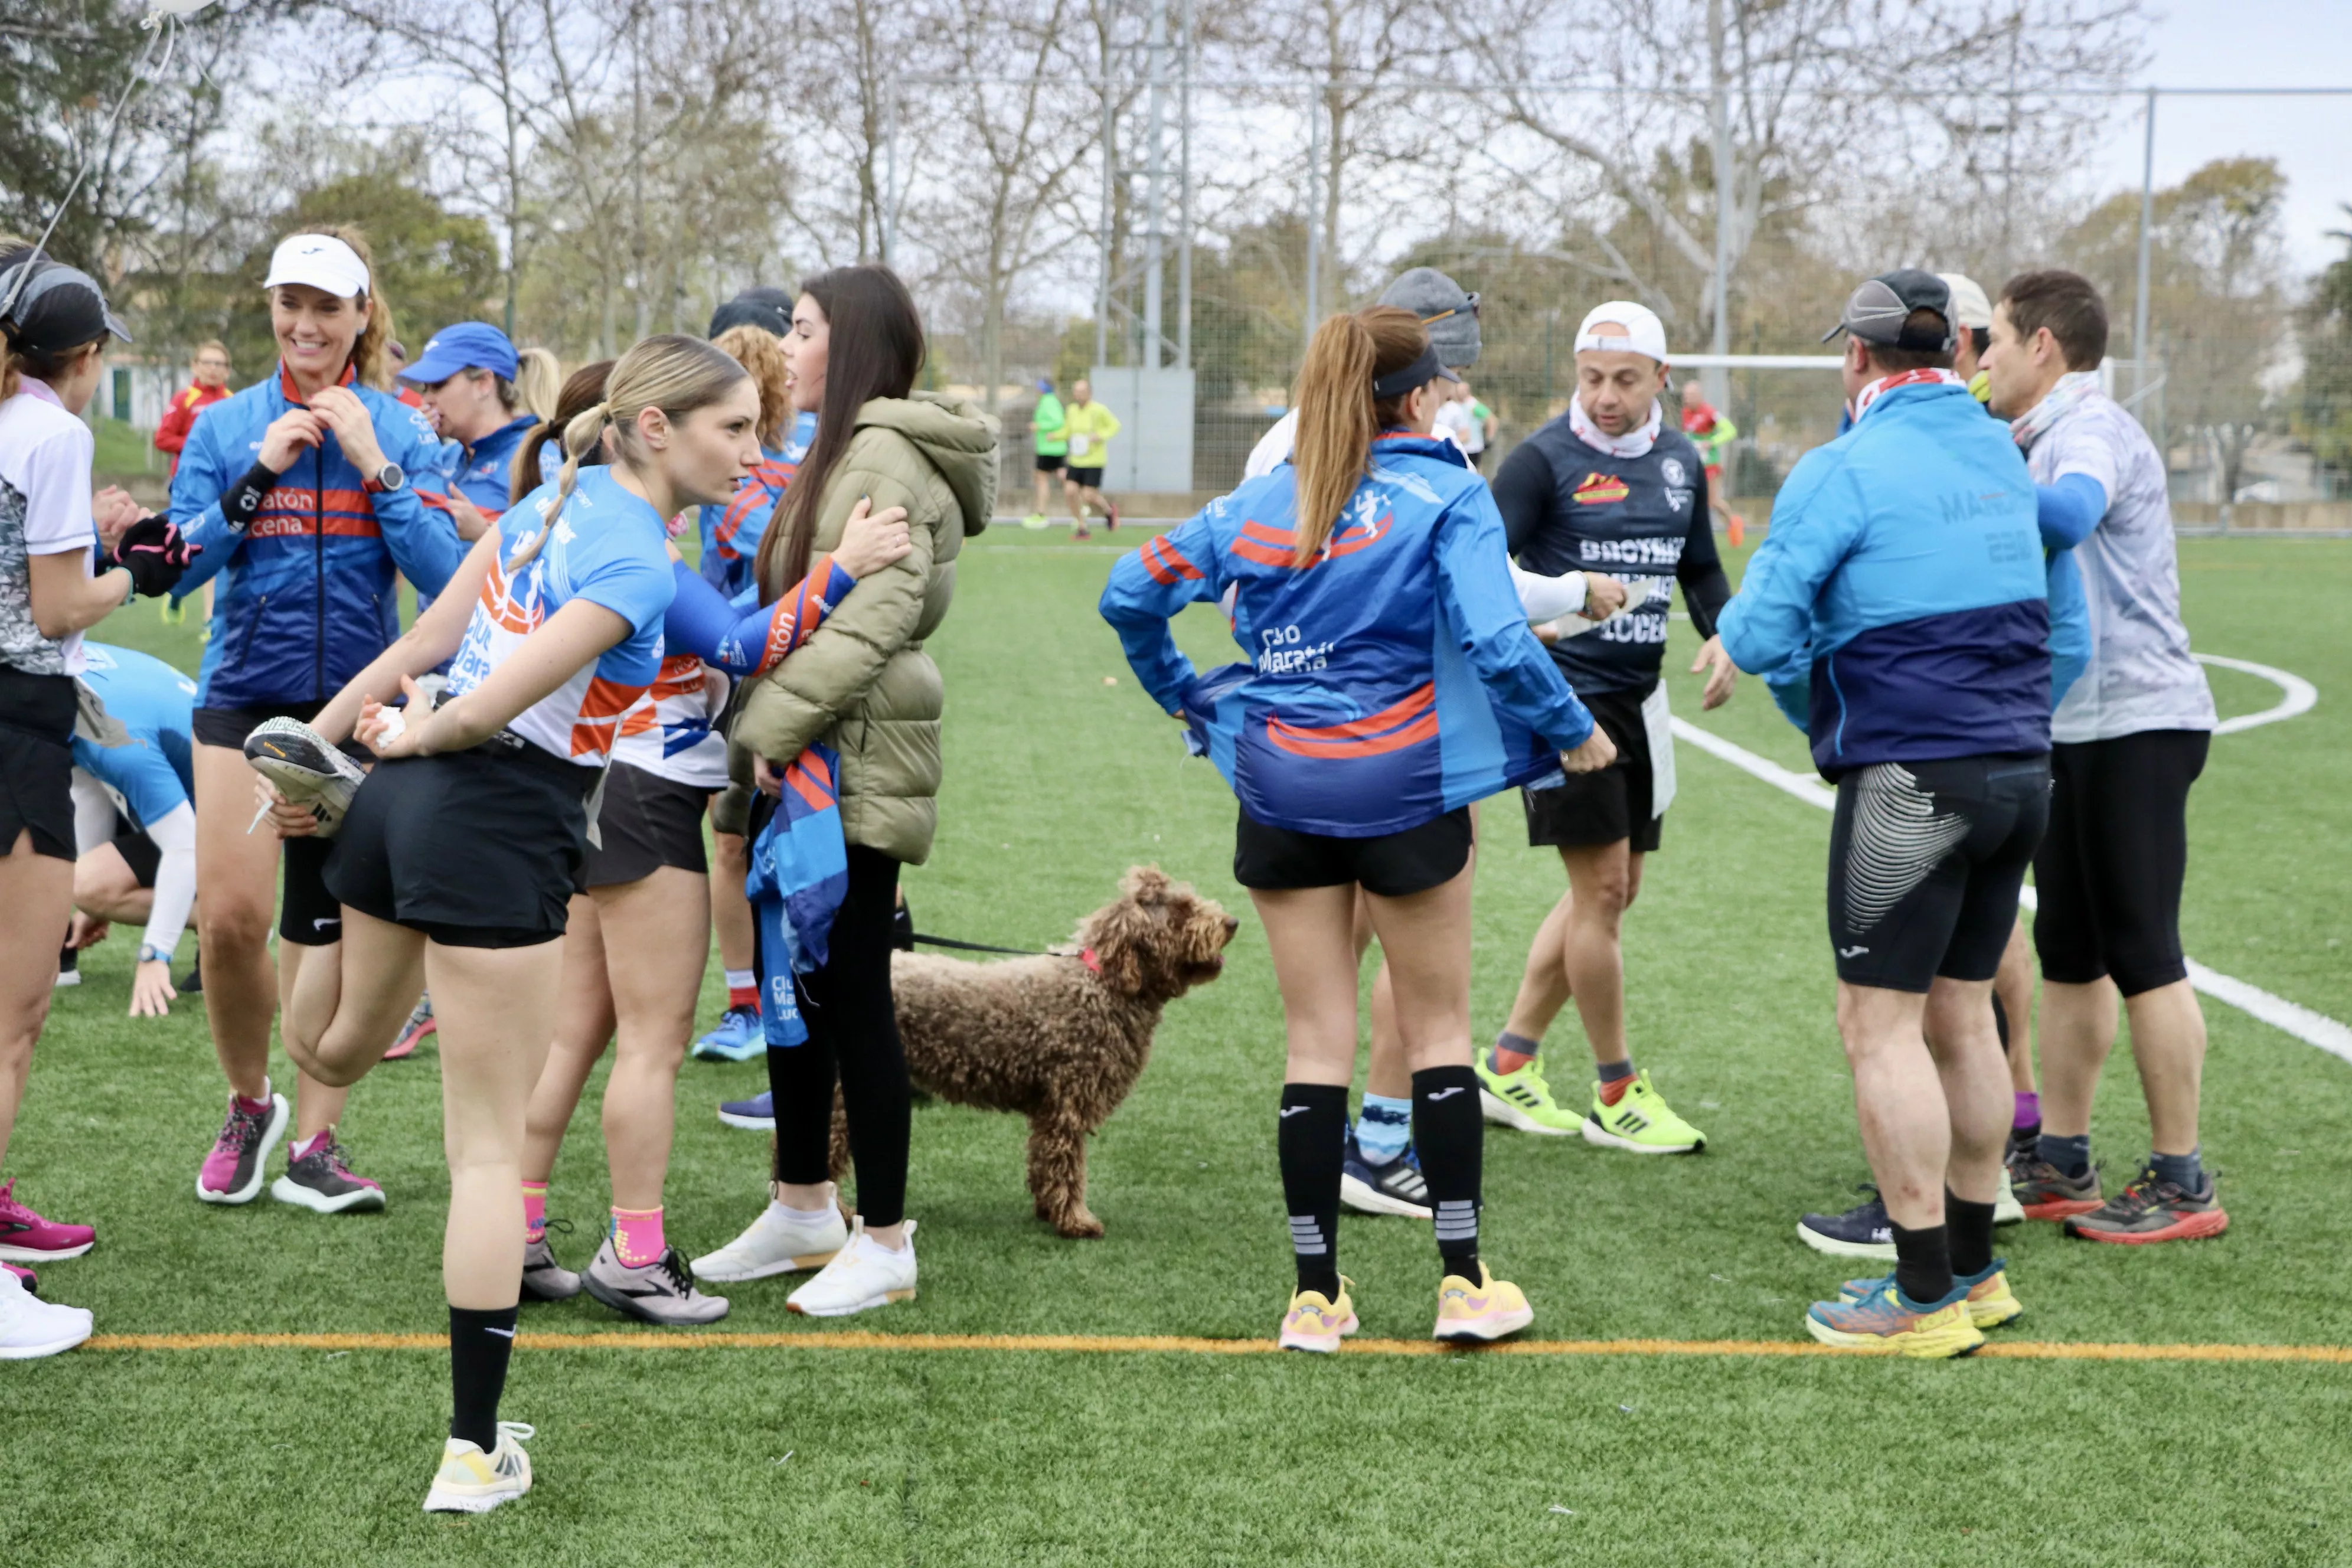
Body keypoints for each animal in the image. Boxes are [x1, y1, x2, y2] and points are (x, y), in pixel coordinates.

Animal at [823, 870, 1232, 1241]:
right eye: (1182, 910)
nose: (1233, 922)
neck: (1101, 987)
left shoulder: (1048, 1109)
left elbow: (1043, 1160)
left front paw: (1048, 1209)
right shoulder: (1067, 1104)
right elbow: (1067, 1166)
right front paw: (1076, 1221)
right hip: (842, 1094)